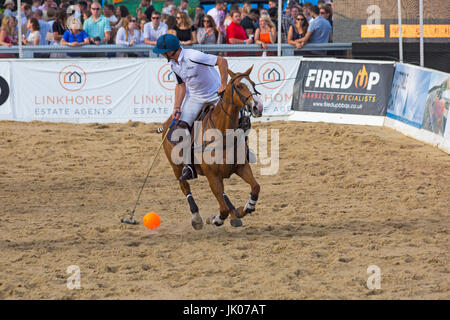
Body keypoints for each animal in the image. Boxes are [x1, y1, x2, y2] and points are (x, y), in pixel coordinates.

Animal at [160, 66, 262, 229]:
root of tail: (169, 121)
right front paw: (216, 219)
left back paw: (234, 214)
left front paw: (244, 208)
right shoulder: (211, 175)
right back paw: (196, 217)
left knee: (223, 194)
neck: (223, 132)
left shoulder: (241, 167)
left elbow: (255, 187)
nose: (258, 107)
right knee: (185, 186)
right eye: (239, 86)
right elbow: (223, 209)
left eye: (253, 84)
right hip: (176, 166)